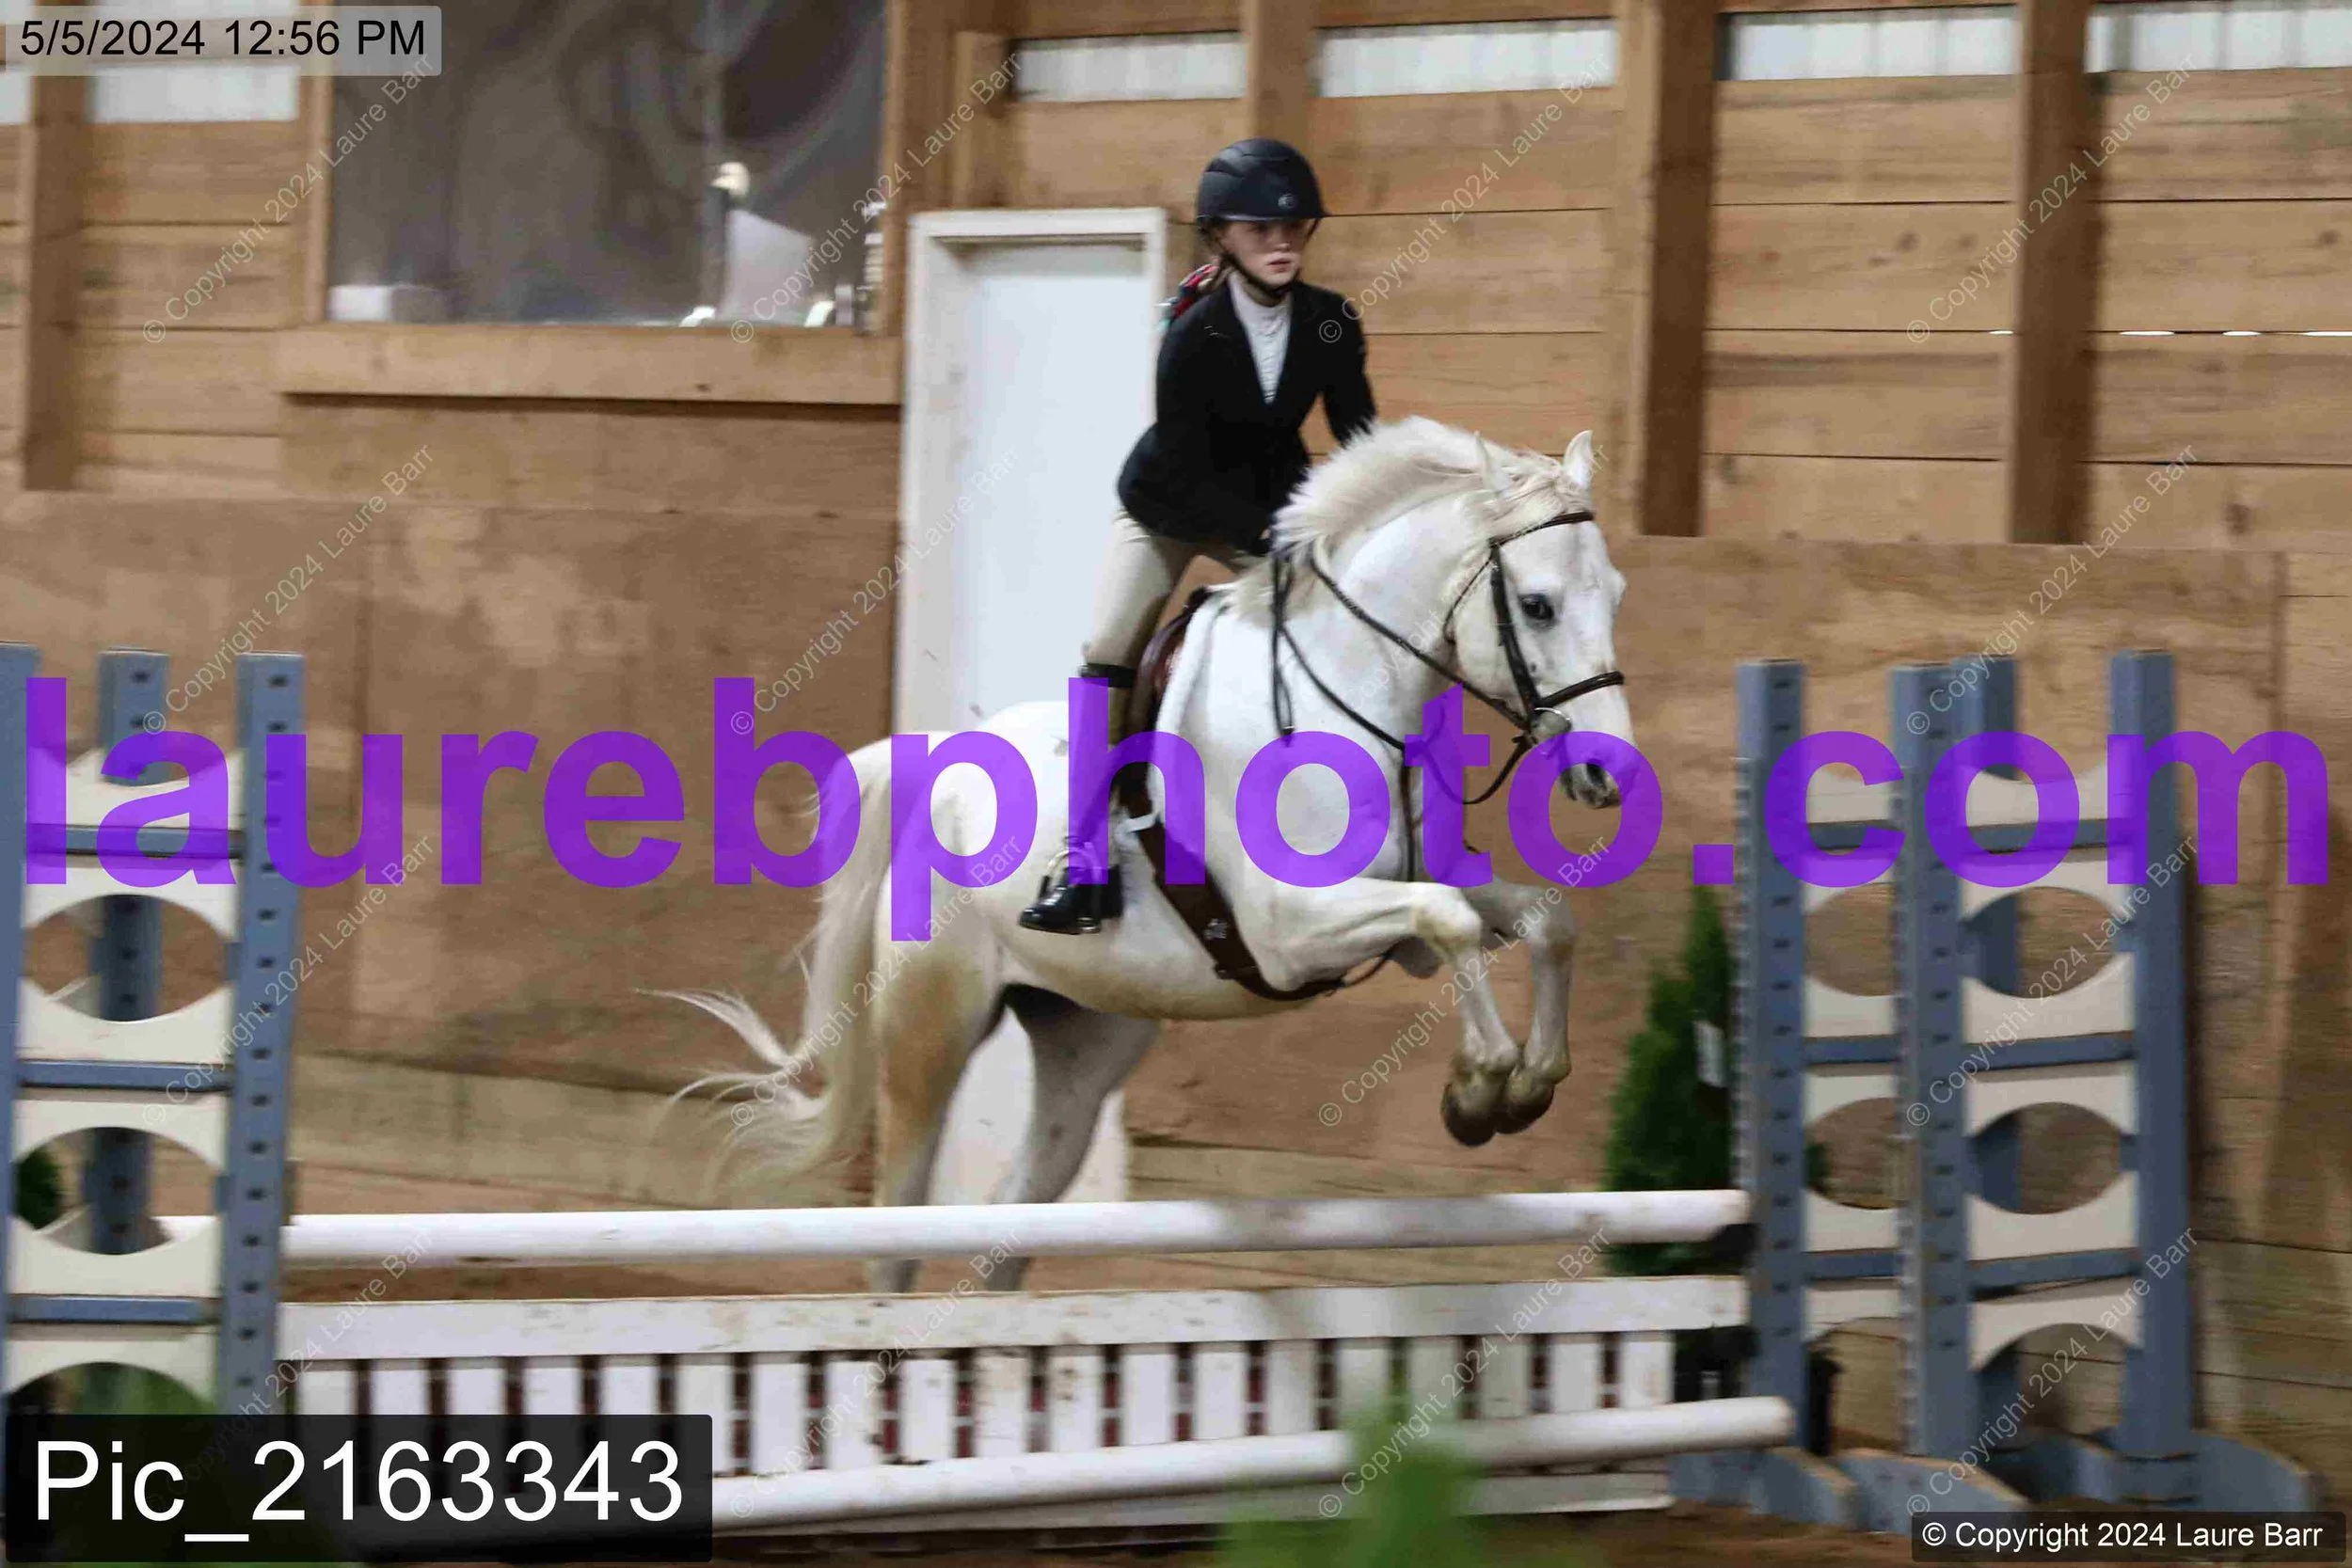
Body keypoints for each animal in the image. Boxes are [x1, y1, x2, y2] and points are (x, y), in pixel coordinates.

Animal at [670, 416, 1634, 1291]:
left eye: (1616, 595)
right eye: (1539, 604)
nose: (1607, 770)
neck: (1356, 689)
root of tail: (933, 758)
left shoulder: (1419, 890)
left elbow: (1542, 919)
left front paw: (1529, 1085)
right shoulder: (1289, 930)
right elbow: (1451, 922)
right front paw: (1479, 1088)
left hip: (1085, 1036)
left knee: (1009, 1229)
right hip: (928, 1025)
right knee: (896, 1232)